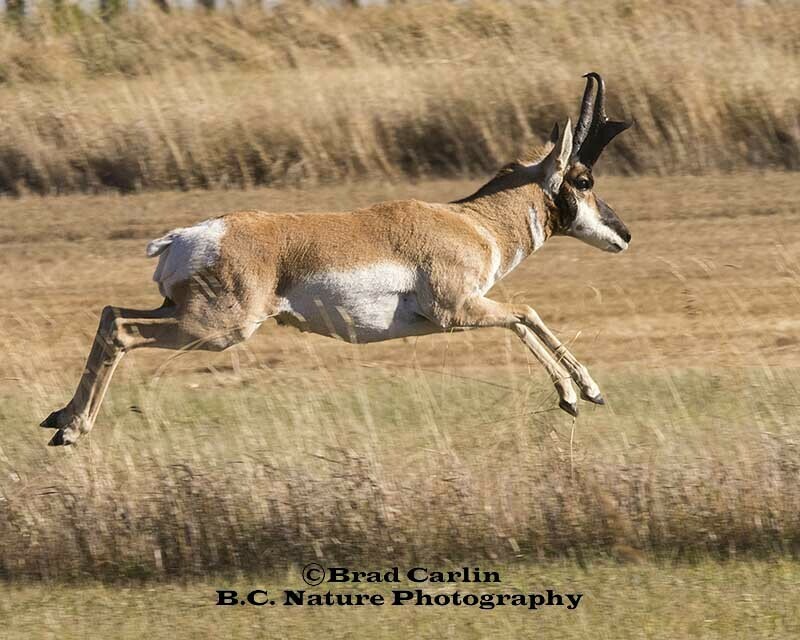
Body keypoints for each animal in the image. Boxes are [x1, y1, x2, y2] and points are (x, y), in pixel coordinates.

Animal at [41, 72, 632, 446]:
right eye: (584, 180)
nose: (625, 235)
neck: (472, 221)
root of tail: (190, 235)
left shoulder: (464, 312)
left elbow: (525, 318)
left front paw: (582, 393)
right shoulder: (459, 310)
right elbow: (527, 314)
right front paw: (582, 393)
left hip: (181, 314)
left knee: (110, 315)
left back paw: (61, 421)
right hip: (217, 329)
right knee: (122, 330)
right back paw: (72, 429)